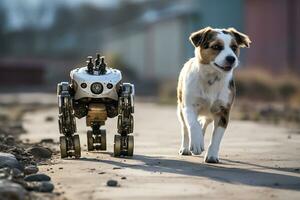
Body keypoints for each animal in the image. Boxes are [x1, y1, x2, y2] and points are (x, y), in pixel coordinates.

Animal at [177, 27, 250, 162]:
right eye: (216, 46)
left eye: (234, 47)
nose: (231, 58)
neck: (212, 77)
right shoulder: (189, 106)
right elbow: (193, 124)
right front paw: (196, 143)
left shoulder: (223, 111)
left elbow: (217, 136)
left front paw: (212, 155)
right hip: (180, 109)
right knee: (185, 128)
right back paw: (185, 148)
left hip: (210, 115)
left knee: (203, 123)